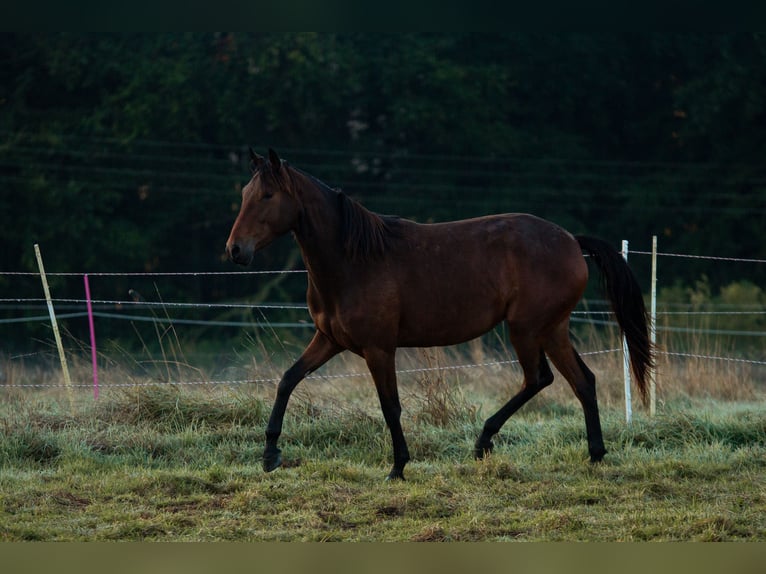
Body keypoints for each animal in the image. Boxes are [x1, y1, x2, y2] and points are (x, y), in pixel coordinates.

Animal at [225, 148, 652, 482]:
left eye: (267, 195)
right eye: (245, 193)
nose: (235, 250)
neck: (353, 259)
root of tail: (571, 241)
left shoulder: (379, 348)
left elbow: (390, 405)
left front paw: (398, 467)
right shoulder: (329, 340)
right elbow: (287, 380)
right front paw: (270, 455)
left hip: (526, 329)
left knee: (539, 378)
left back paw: (484, 441)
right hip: (552, 329)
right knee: (581, 381)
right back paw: (594, 454)